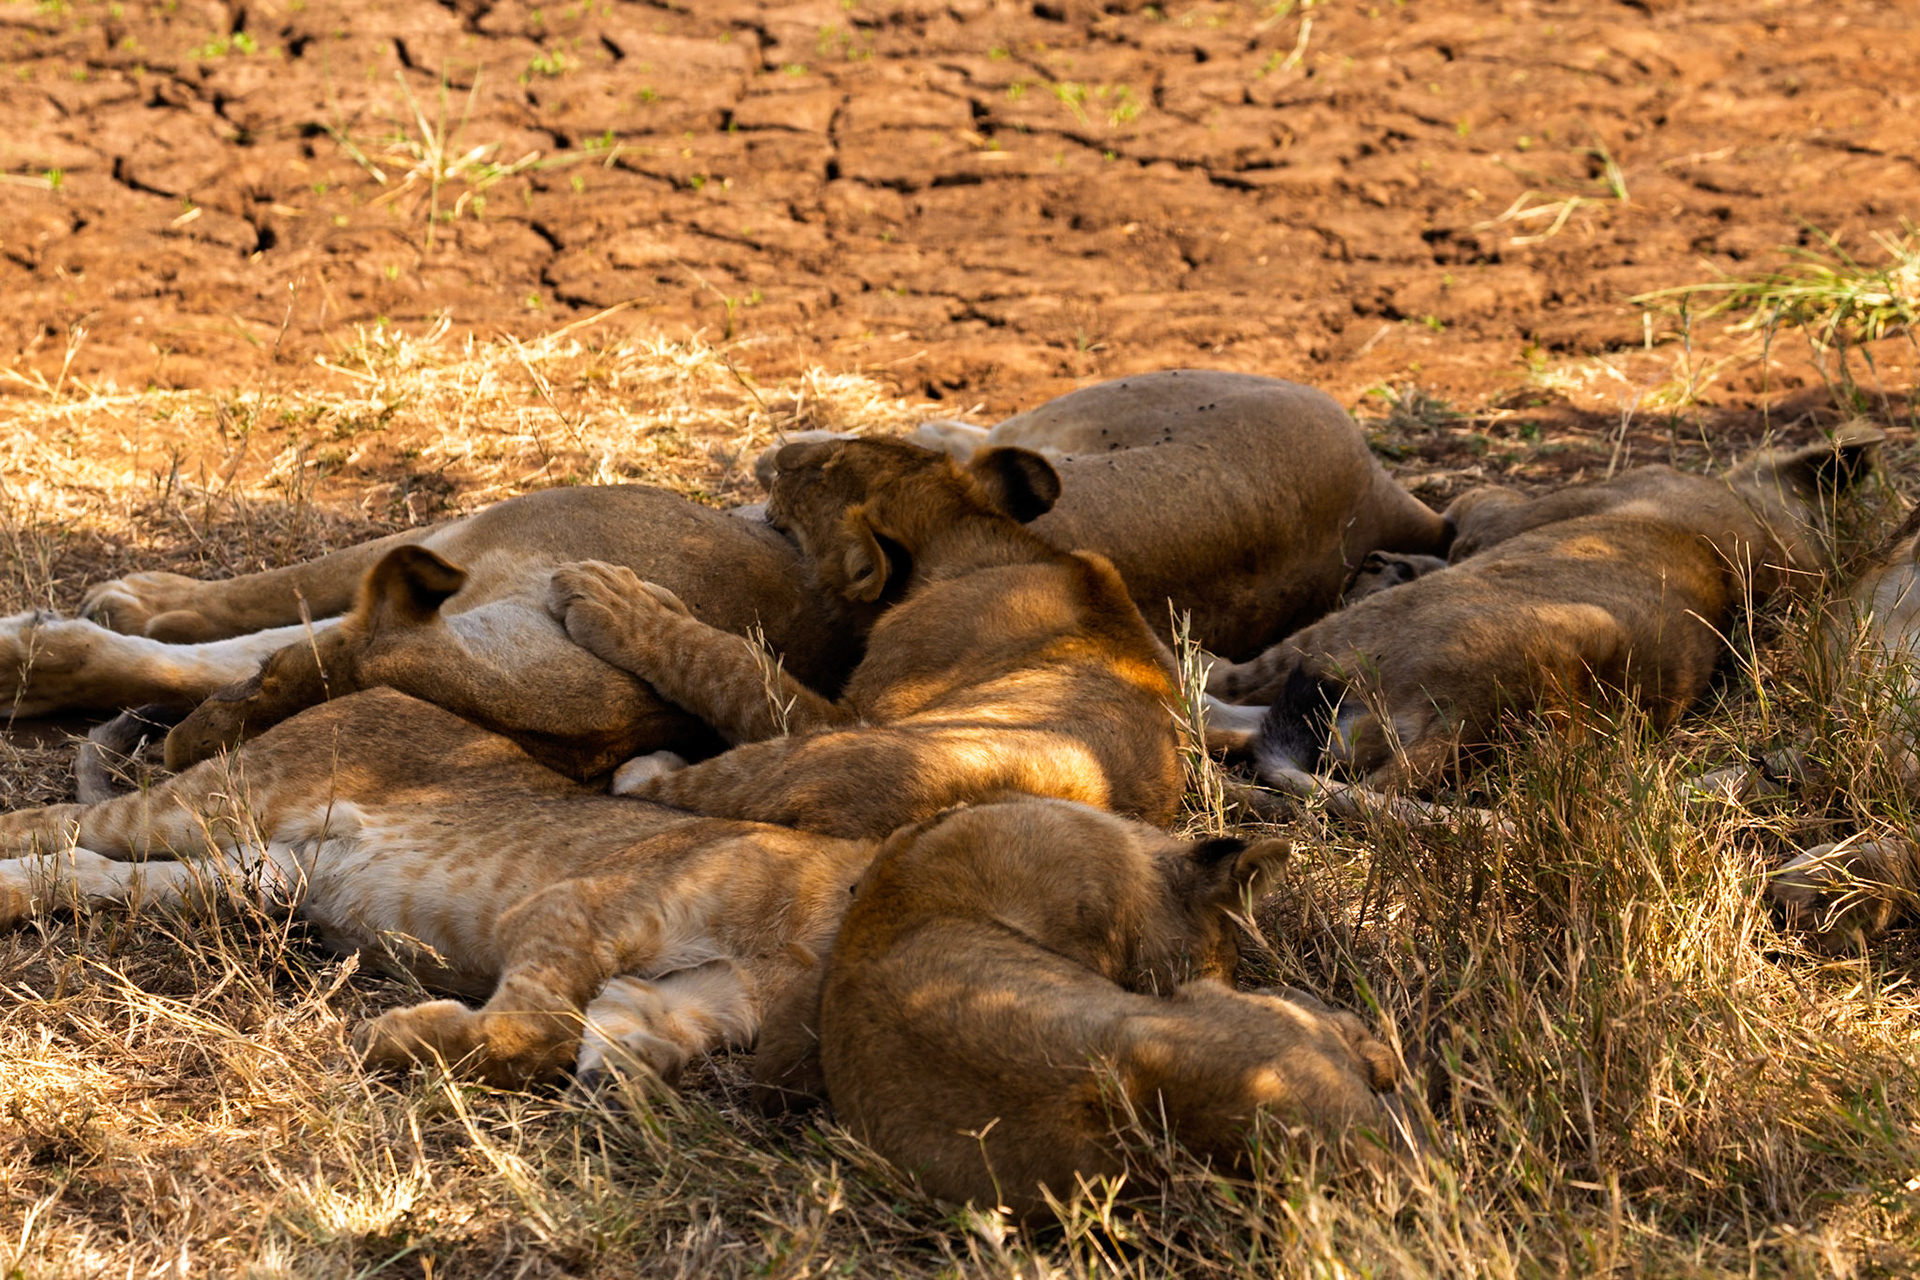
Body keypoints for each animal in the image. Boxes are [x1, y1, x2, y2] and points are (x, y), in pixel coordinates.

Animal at [0, 688, 875, 1088]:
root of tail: (372, 690)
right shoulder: (578, 907)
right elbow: (535, 1029)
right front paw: (381, 1040)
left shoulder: (686, 999)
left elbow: (591, 1039)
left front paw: (615, 1079)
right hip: (219, 801)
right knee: (52, 819)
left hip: (259, 875)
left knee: (87, 869)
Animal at [548, 438, 1185, 838]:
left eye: (823, 469)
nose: (779, 456)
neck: (974, 532)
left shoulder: (844, 713)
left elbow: (733, 664)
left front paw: (614, 600)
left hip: (833, 752)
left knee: (674, 785)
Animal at [1207, 428, 1883, 794]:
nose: (1375, 563)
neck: (1761, 532)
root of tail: (1471, 721)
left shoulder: (1506, 517)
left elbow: (1469, 508)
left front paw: (1391, 561)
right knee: (1242, 726)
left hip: (1337, 640)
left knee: (1221, 686)